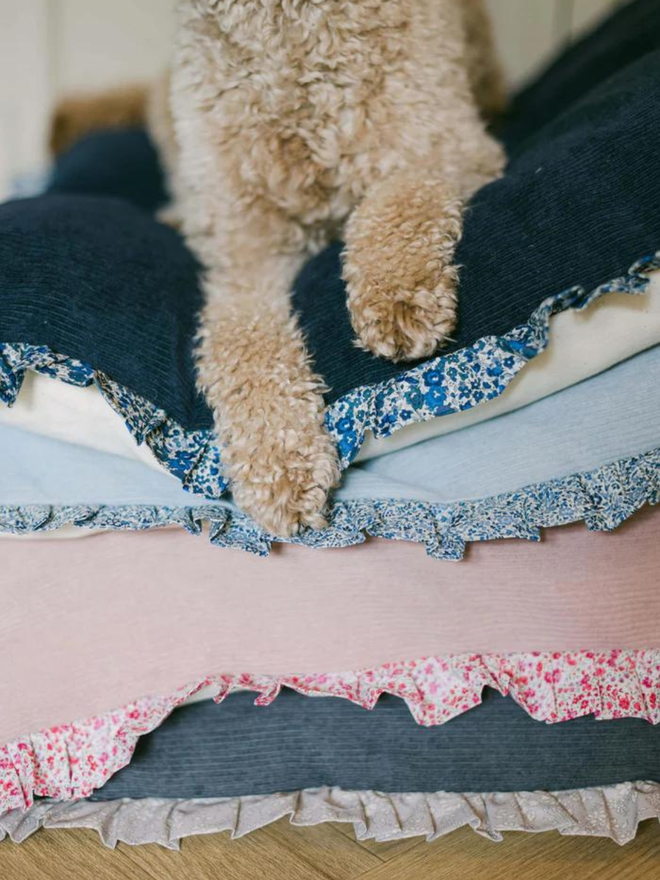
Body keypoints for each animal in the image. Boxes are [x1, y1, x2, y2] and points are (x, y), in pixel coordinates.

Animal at [52, 0, 506, 536]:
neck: (289, 34)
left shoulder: (450, 146)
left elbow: (400, 196)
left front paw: (396, 292)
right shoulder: (246, 253)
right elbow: (243, 345)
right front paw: (279, 461)